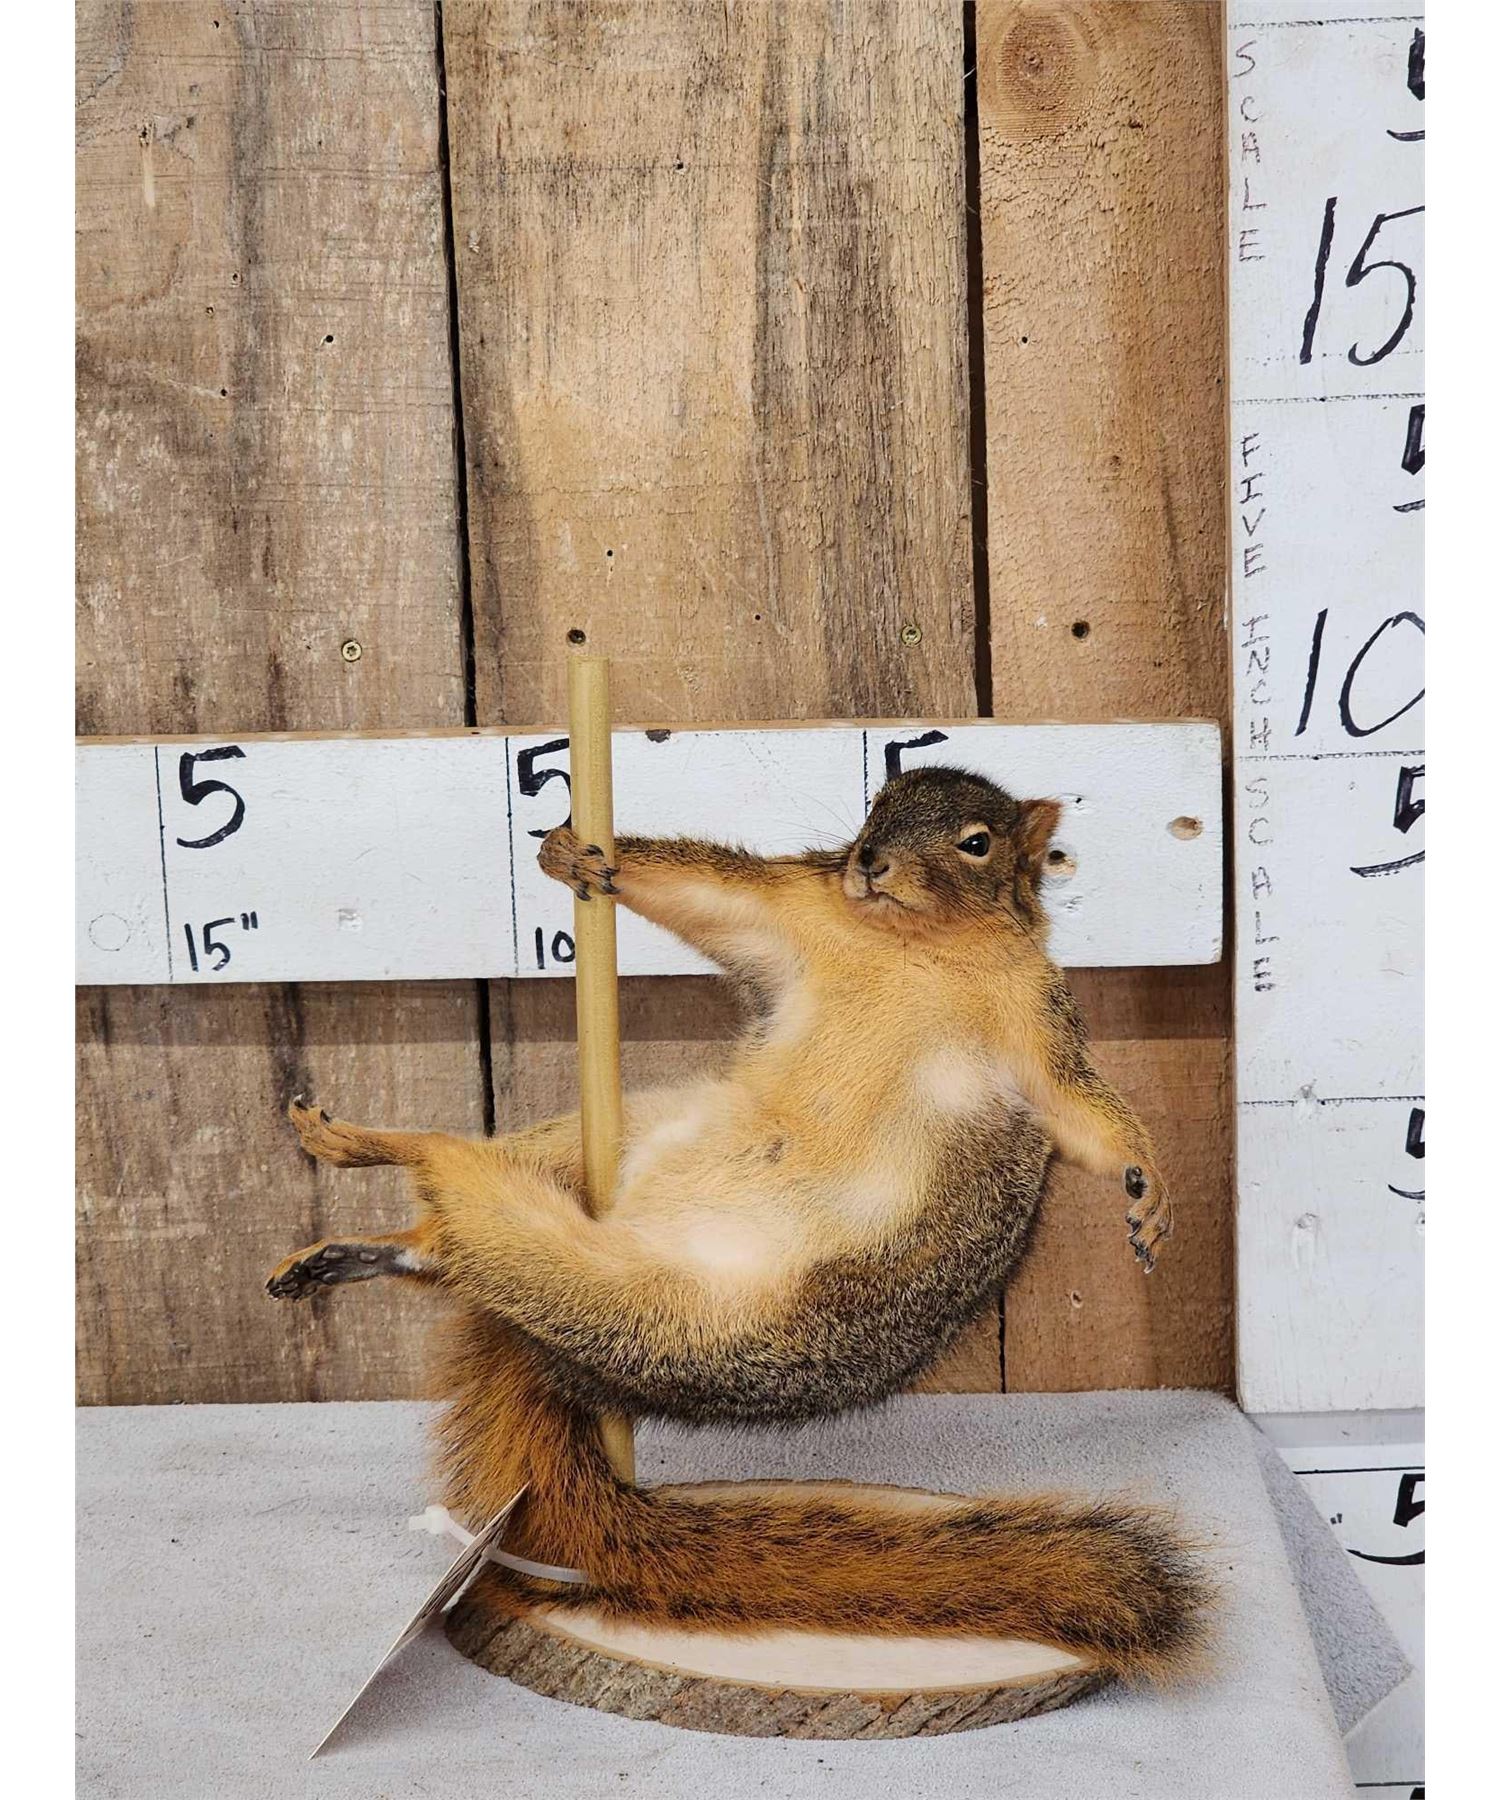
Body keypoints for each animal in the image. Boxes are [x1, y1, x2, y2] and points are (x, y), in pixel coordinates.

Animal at [267, 765, 1207, 1680]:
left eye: (978, 844)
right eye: (881, 800)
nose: (868, 860)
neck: (914, 944)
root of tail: (571, 1361)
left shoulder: (1037, 1024)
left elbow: (1087, 1117)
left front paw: (1150, 1190)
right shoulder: (792, 908)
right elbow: (708, 894)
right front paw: (569, 852)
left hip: (629, 1298)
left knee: (466, 1215)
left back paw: (376, 1190)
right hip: (592, 1146)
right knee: (453, 1214)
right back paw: (360, 1199)